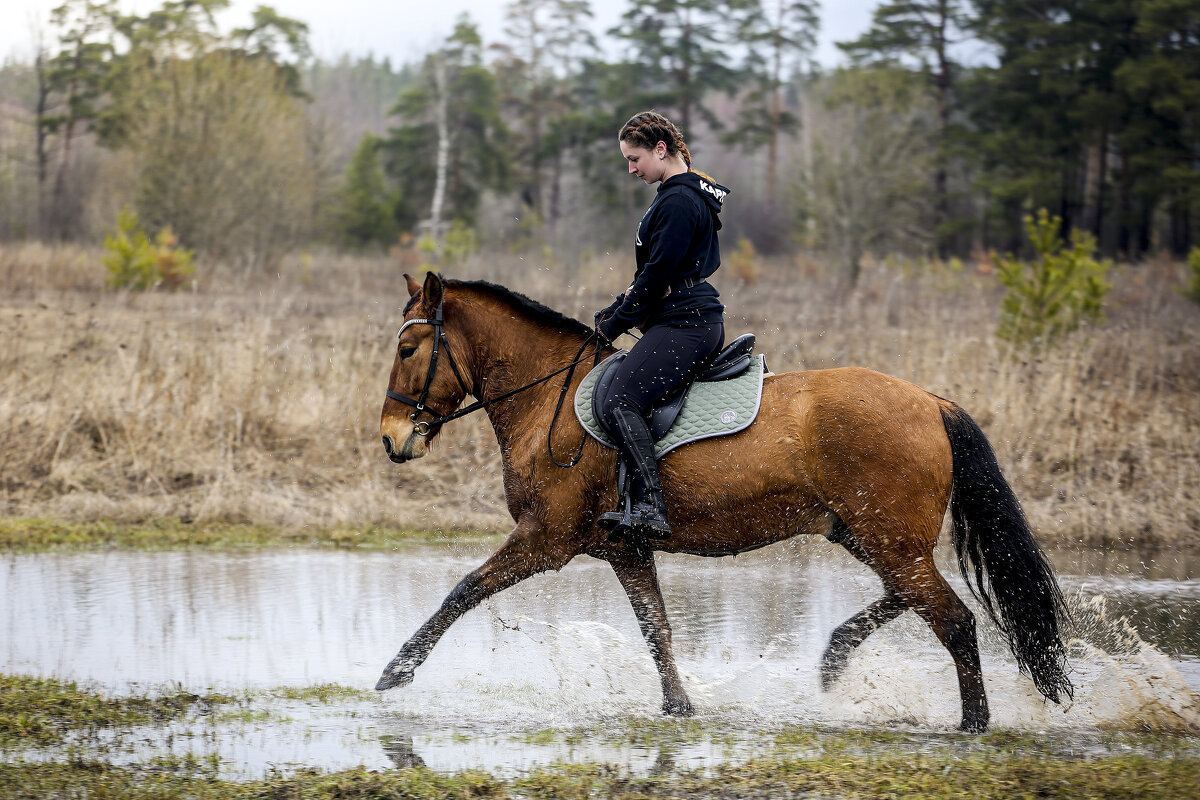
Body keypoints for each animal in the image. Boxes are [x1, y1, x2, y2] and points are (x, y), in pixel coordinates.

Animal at [374, 271, 1070, 734]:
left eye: (408, 350)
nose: (391, 439)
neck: (551, 397)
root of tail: (931, 401)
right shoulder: (624, 550)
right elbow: (657, 628)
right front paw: (679, 707)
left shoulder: (545, 540)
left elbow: (463, 590)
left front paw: (396, 673)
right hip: (868, 535)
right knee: (910, 597)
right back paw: (836, 659)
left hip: (889, 540)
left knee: (953, 619)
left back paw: (972, 724)